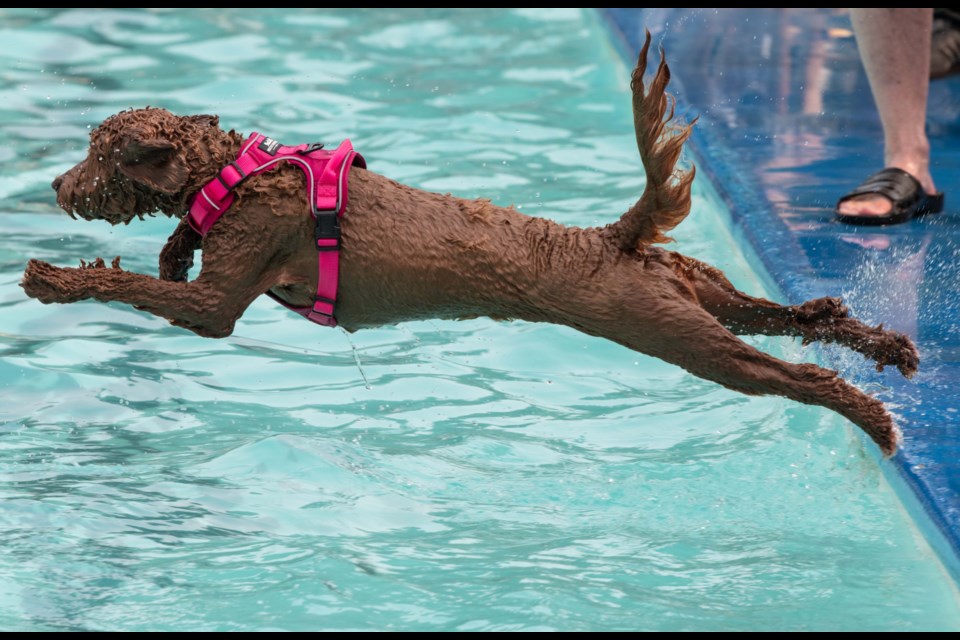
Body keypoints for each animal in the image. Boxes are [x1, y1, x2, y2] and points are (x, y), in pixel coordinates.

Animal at [22, 36, 920, 456]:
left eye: (96, 154)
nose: (58, 186)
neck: (237, 175)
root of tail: (616, 237)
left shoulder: (216, 308)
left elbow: (132, 285)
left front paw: (54, 279)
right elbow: (171, 252)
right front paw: (174, 243)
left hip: (683, 336)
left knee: (794, 374)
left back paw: (874, 417)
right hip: (699, 294)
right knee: (801, 312)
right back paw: (885, 347)